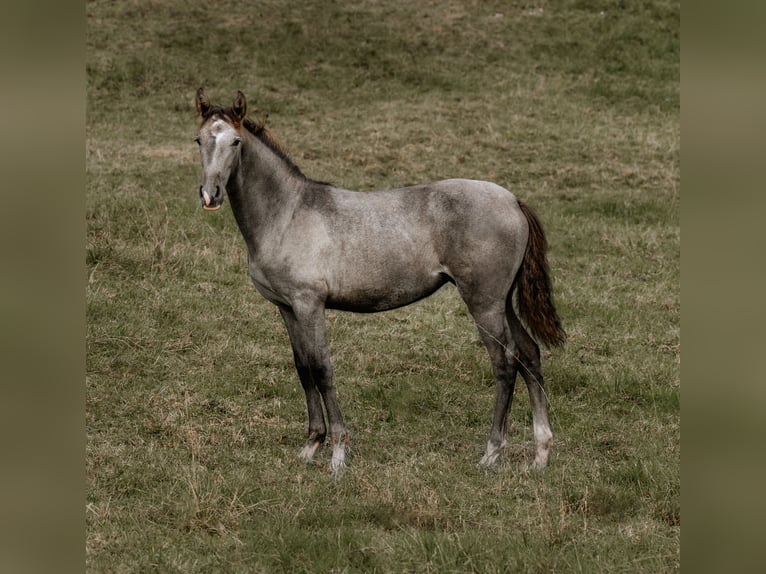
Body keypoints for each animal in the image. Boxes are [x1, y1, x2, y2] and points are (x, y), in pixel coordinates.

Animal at [194, 90, 564, 476]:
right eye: (199, 140)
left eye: (235, 142)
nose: (210, 195)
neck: (287, 213)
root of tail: (513, 201)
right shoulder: (287, 308)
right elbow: (303, 368)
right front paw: (311, 446)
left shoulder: (310, 305)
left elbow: (322, 368)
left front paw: (338, 454)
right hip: (502, 302)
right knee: (529, 354)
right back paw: (540, 454)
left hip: (484, 304)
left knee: (505, 365)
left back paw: (492, 454)